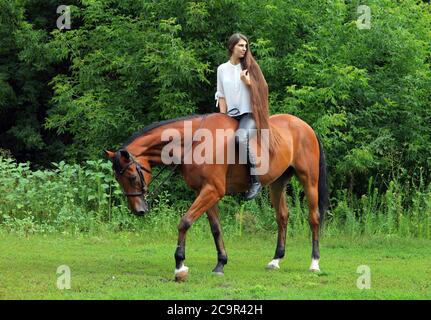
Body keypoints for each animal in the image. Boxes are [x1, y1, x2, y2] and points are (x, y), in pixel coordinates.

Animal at [104, 112, 328, 280]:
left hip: (309, 180)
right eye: (118, 179)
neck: (194, 142)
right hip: (277, 183)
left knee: (313, 218)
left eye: (132, 176)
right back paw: (276, 259)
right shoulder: (205, 191)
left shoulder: (212, 190)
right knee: (282, 216)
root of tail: (304, 125)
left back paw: (314, 263)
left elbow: (184, 222)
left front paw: (180, 265)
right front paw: (221, 263)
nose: (138, 210)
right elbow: (216, 229)